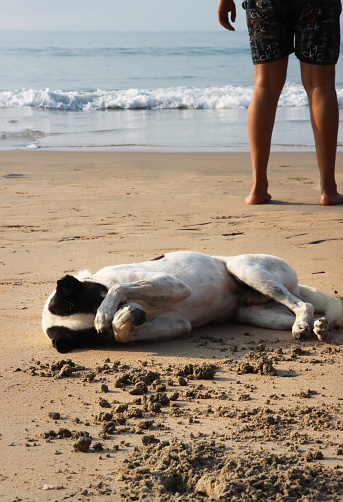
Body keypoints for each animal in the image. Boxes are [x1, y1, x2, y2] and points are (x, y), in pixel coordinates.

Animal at [41, 251, 342, 352]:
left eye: (98, 300)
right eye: (94, 338)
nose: (139, 315)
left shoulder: (173, 284)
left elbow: (119, 288)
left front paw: (109, 315)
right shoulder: (178, 323)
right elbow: (121, 333)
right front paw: (123, 322)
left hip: (247, 270)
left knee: (304, 305)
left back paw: (305, 324)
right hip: (255, 313)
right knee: (303, 311)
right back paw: (321, 328)